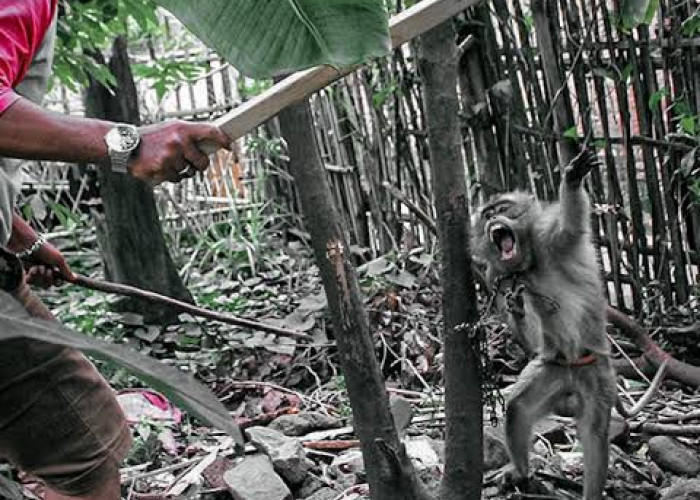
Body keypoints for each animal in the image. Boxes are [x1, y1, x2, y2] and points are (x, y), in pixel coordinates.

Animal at [474, 150, 664, 500]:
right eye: (487, 214)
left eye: (504, 209)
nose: (494, 220)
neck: (527, 262)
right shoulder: (496, 277)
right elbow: (532, 340)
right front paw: (517, 309)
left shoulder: (549, 238)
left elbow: (570, 226)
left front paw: (573, 178)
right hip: (554, 371)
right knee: (519, 408)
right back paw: (521, 471)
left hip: (597, 378)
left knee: (594, 435)